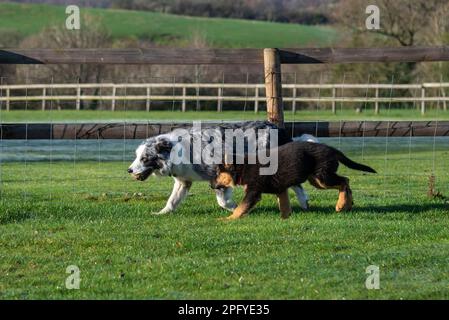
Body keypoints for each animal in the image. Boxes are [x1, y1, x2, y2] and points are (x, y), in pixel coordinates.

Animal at [127, 122, 318, 215]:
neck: (177, 150)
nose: (129, 170)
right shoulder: (183, 181)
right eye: (136, 156)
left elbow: (223, 201)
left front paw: (237, 209)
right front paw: (162, 213)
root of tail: (280, 129)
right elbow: (173, 200)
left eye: (144, 158)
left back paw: (303, 203)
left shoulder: (217, 175)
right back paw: (301, 204)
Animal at [210, 142, 374, 220]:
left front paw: (227, 219)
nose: (210, 185)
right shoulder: (281, 188)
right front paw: (285, 219)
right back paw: (348, 204)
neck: (243, 167)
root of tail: (333, 150)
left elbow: (240, 208)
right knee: (345, 181)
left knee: (345, 180)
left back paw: (341, 204)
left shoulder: (253, 192)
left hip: (322, 177)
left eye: (218, 173)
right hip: (316, 179)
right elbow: (284, 205)